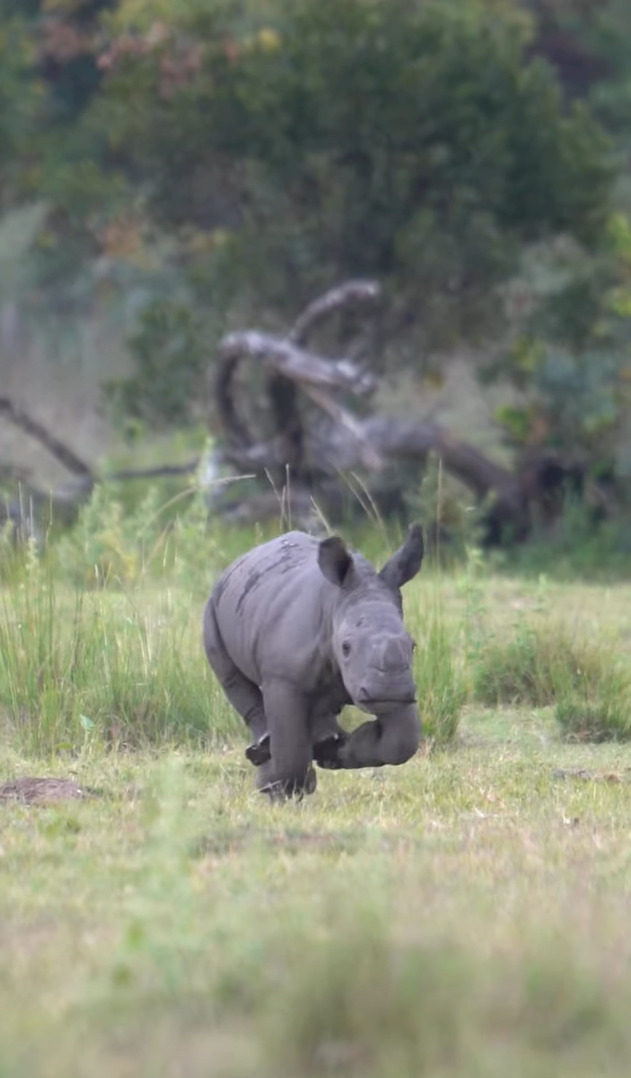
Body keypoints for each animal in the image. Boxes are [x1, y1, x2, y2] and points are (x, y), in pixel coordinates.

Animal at [203, 526, 422, 797]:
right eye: (346, 647)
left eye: (412, 646)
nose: (389, 689)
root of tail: (237, 562)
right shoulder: (284, 678)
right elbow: (290, 749)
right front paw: (282, 792)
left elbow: (401, 742)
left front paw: (347, 748)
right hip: (212, 610)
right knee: (233, 680)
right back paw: (268, 766)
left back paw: (326, 747)